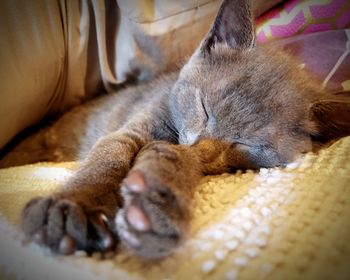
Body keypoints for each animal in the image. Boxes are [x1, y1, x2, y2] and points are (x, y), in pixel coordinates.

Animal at [0, 0, 350, 258]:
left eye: (248, 145)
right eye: (204, 107)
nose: (199, 145)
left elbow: (175, 160)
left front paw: (155, 204)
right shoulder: (135, 127)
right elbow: (109, 156)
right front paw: (74, 206)